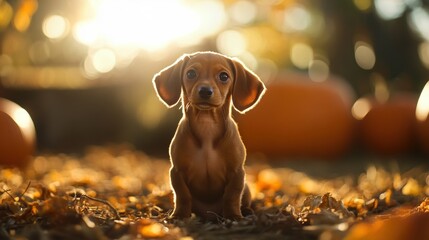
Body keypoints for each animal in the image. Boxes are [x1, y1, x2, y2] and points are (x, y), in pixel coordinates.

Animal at [150, 51, 264, 220]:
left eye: (224, 76)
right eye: (191, 73)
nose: (205, 91)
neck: (207, 125)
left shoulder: (237, 173)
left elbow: (232, 196)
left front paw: (233, 216)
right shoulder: (177, 172)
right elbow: (182, 195)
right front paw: (179, 215)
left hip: (247, 187)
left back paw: (246, 211)